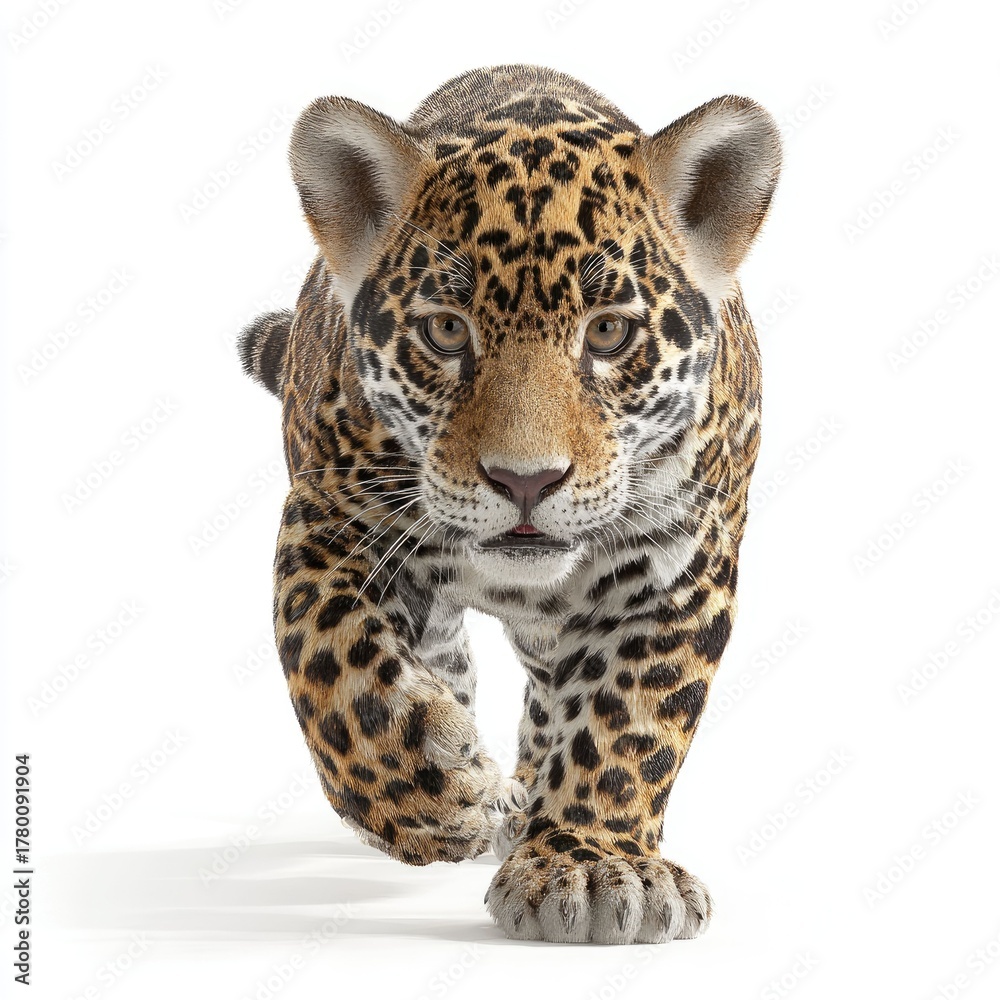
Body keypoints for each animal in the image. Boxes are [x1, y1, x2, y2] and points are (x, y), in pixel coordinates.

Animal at [237, 64, 781, 944]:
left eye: (609, 334)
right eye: (447, 331)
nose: (526, 481)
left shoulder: (684, 564)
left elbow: (628, 717)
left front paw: (593, 865)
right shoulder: (328, 522)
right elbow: (337, 668)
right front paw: (434, 794)